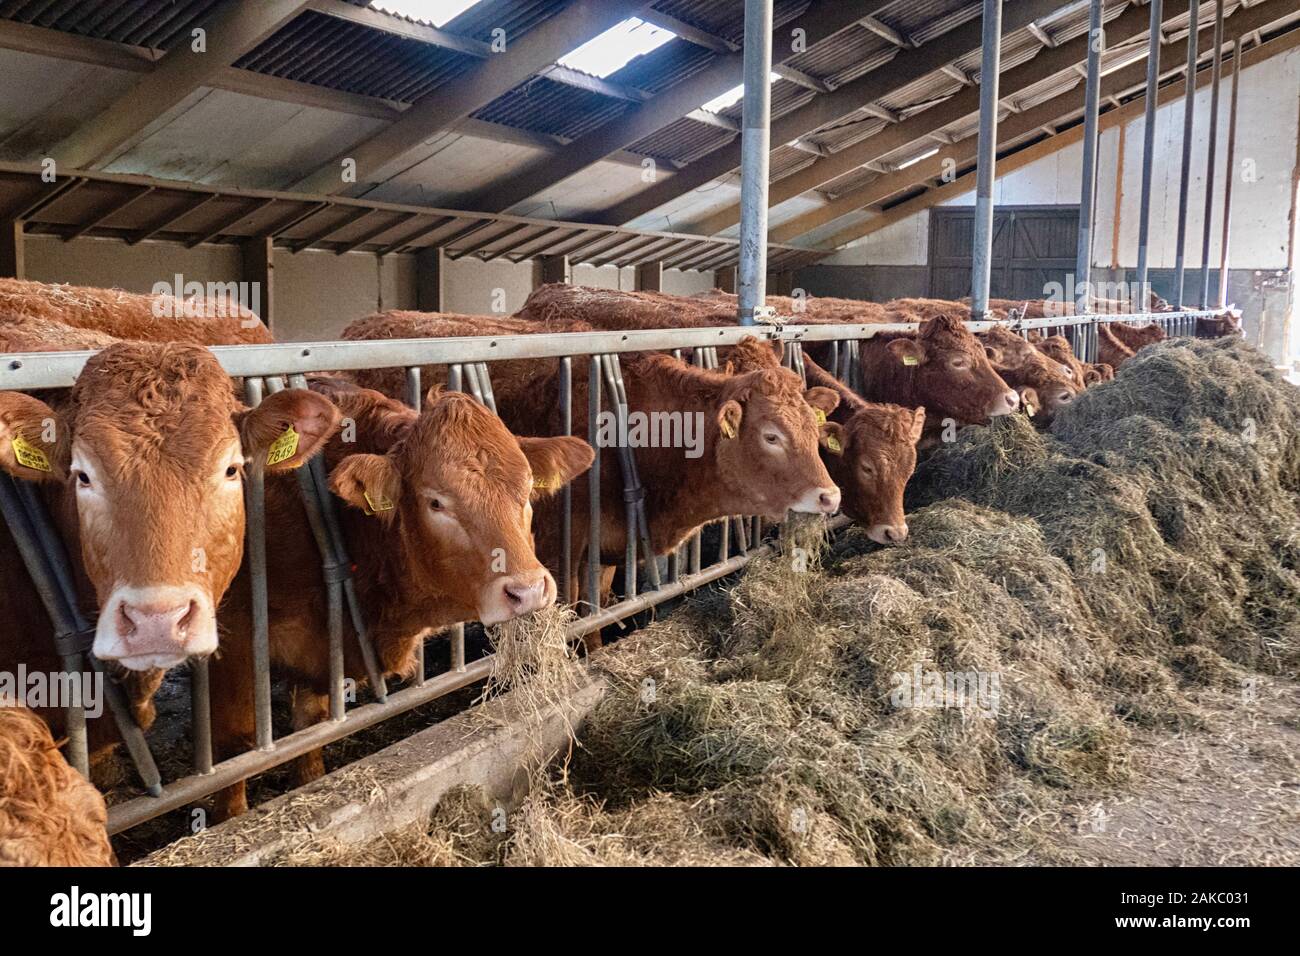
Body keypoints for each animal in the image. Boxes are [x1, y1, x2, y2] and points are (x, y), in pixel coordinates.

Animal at [210, 385, 595, 816]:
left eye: (528, 490)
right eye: (435, 503)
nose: (527, 591)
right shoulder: (235, 641)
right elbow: (235, 751)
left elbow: (310, 735)